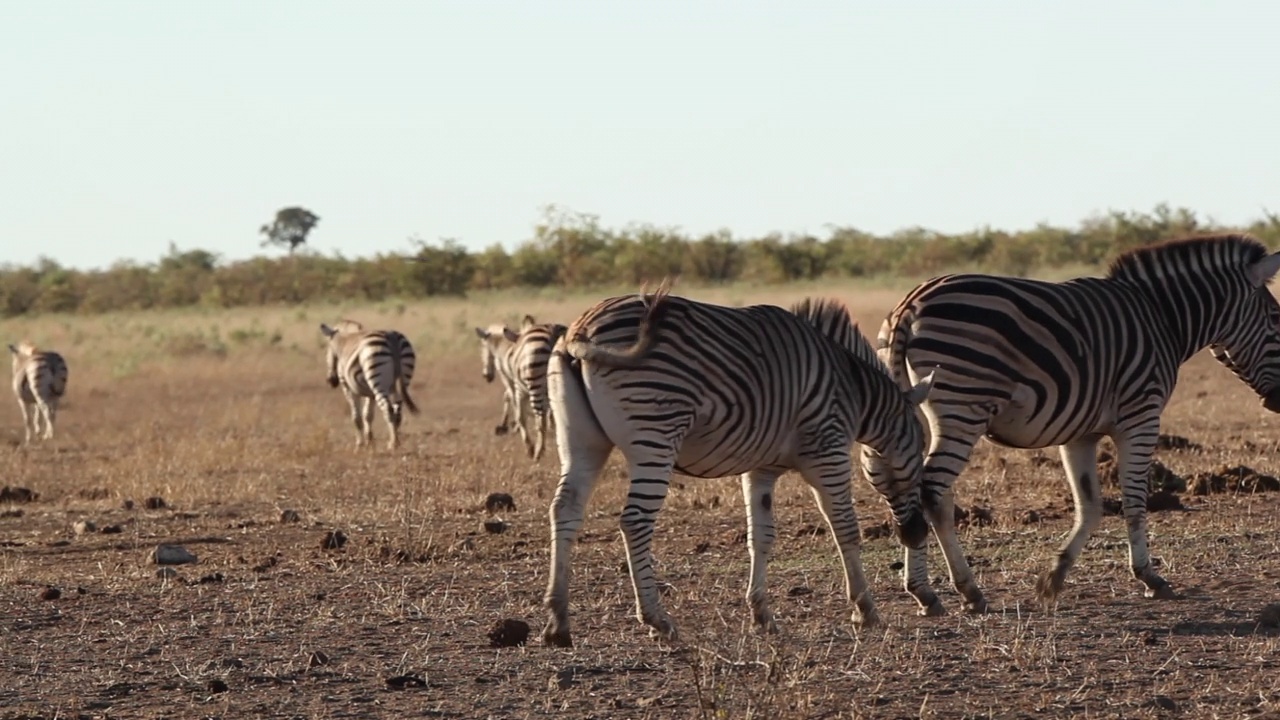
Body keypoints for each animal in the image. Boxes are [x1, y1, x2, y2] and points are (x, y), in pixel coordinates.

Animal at [320, 316, 419, 445]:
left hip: (377, 380)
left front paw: (359, 444)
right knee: (397, 410)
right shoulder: (370, 393)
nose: (331, 381)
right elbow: (367, 415)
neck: (344, 342)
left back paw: (393, 444)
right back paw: (395, 440)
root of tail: (391, 336)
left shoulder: (348, 387)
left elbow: (356, 416)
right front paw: (369, 441)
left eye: (327, 350)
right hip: (398, 382)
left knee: (388, 409)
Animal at [476, 313, 565, 458]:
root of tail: (552, 333)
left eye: (483, 348)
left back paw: (538, 451)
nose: (486, 376)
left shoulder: (511, 381)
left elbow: (516, 409)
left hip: (535, 385)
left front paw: (510, 428)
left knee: (540, 418)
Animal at [535, 280, 936, 645]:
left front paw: (762, 614)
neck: (854, 386)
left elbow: (761, 536)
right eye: (919, 447)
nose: (917, 532)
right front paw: (866, 609)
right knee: (634, 522)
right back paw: (657, 619)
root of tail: (581, 329)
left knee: (565, 509)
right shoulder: (829, 452)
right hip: (656, 435)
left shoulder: (761, 468)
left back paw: (558, 622)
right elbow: (846, 529)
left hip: (581, 441)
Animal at [875, 233, 1280, 614]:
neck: (1162, 317)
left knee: (915, 490)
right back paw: (944, 592)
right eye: (1276, 322)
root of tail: (910, 304)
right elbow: (1135, 500)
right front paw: (1150, 577)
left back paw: (942, 592)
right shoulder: (1141, 415)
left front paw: (1054, 577)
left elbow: (1090, 505)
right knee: (932, 492)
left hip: (908, 412)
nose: (1276, 403)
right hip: (963, 406)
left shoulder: (1079, 433)